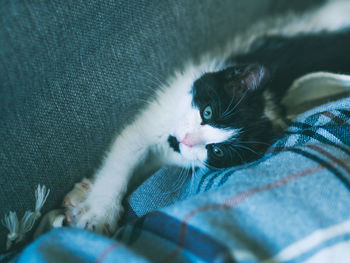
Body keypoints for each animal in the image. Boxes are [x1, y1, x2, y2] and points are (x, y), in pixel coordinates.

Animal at [64, 0, 350, 235]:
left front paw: (92, 205)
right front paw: (97, 208)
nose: (187, 140)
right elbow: (126, 154)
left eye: (218, 151)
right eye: (207, 112)